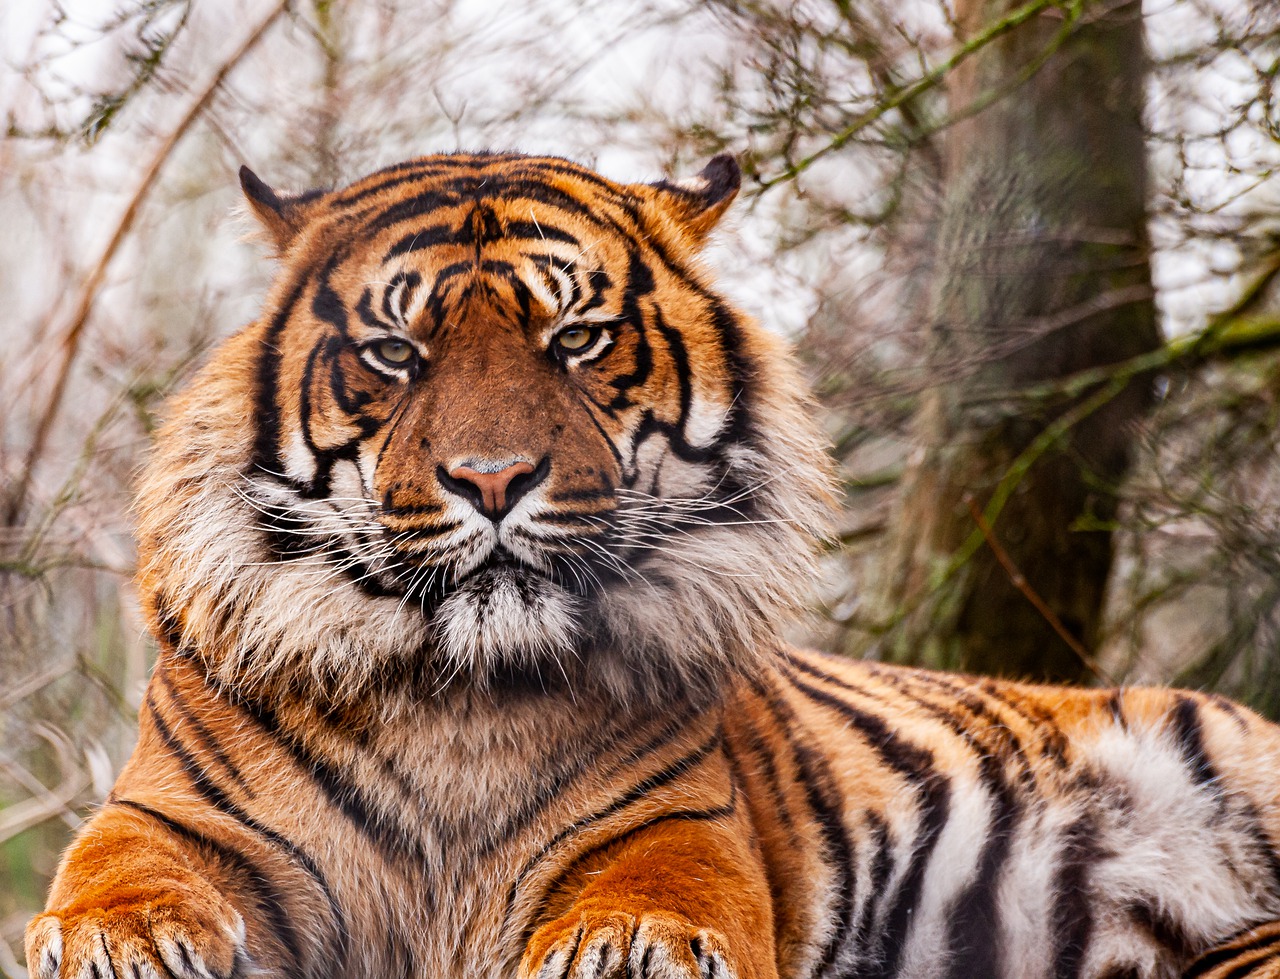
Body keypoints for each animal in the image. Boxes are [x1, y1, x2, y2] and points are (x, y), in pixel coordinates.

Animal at [24, 150, 1280, 979]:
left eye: (574, 339)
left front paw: (626, 946)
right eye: (394, 351)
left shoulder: (674, 828)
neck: (456, 700)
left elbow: (654, 894)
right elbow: (117, 874)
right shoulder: (172, 817)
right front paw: (116, 942)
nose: (491, 478)